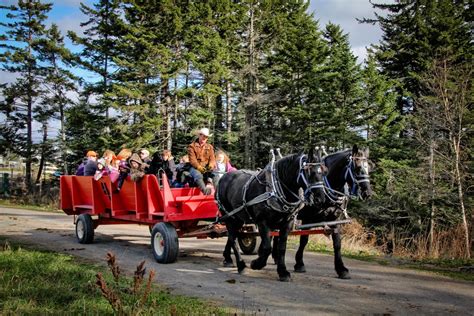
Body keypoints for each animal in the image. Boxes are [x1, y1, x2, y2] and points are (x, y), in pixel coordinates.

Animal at [216, 149, 324, 282]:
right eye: (310, 172)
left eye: (323, 172)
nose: (321, 198)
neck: (275, 189)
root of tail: (223, 177)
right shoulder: (262, 221)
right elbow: (267, 246)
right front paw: (256, 264)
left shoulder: (287, 223)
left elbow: (281, 248)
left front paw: (283, 272)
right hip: (229, 216)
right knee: (232, 238)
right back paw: (241, 265)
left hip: (238, 218)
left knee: (233, 236)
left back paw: (228, 259)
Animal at [280, 146, 372, 278]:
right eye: (357, 168)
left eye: (369, 168)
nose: (367, 193)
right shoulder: (307, 219)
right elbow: (304, 240)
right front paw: (299, 263)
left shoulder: (336, 220)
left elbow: (337, 243)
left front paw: (341, 269)